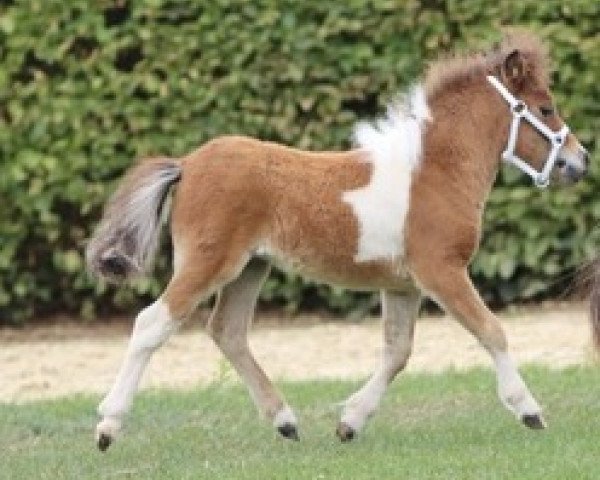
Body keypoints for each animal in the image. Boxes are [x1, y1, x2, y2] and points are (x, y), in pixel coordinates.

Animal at [86, 31, 588, 452]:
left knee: (227, 330)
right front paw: (529, 411)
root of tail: (187, 163)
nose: (579, 161)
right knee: (152, 323)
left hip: (251, 267)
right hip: (209, 262)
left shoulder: (403, 285)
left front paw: (350, 422)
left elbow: (397, 353)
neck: (434, 171)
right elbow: (492, 331)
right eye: (546, 109)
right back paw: (108, 425)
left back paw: (285, 422)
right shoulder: (441, 270)